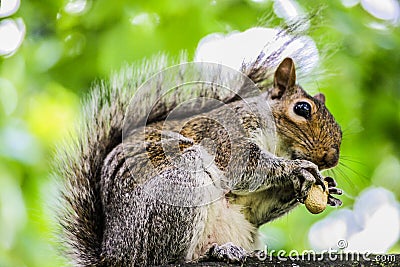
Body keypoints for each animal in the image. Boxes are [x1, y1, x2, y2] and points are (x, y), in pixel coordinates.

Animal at [55, 25, 344, 266]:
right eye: (302, 108)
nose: (331, 157)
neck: (278, 146)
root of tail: (112, 255)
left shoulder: (250, 206)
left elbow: (258, 206)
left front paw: (326, 187)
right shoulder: (224, 134)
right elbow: (245, 166)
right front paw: (296, 168)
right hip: (179, 187)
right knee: (167, 259)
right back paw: (213, 253)